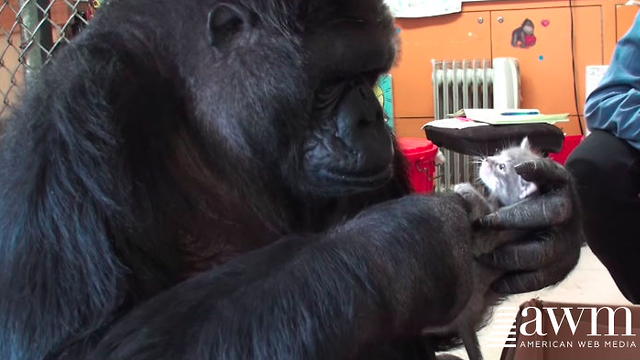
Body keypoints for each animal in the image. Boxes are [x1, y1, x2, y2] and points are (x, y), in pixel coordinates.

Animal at [0, 0, 584, 360]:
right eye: (331, 82)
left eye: (371, 75)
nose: (372, 116)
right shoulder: (76, 119)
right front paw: (415, 237)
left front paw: (554, 219)